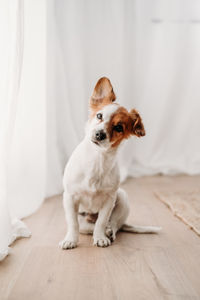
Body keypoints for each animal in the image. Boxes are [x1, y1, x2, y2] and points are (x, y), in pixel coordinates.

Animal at [59, 77, 161, 248]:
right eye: (99, 116)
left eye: (119, 127)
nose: (99, 134)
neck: (97, 159)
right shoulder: (70, 197)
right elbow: (73, 223)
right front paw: (70, 240)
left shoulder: (109, 200)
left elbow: (102, 221)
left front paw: (100, 237)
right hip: (85, 221)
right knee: (88, 226)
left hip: (122, 197)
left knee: (113, 224)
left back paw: (108, 232)